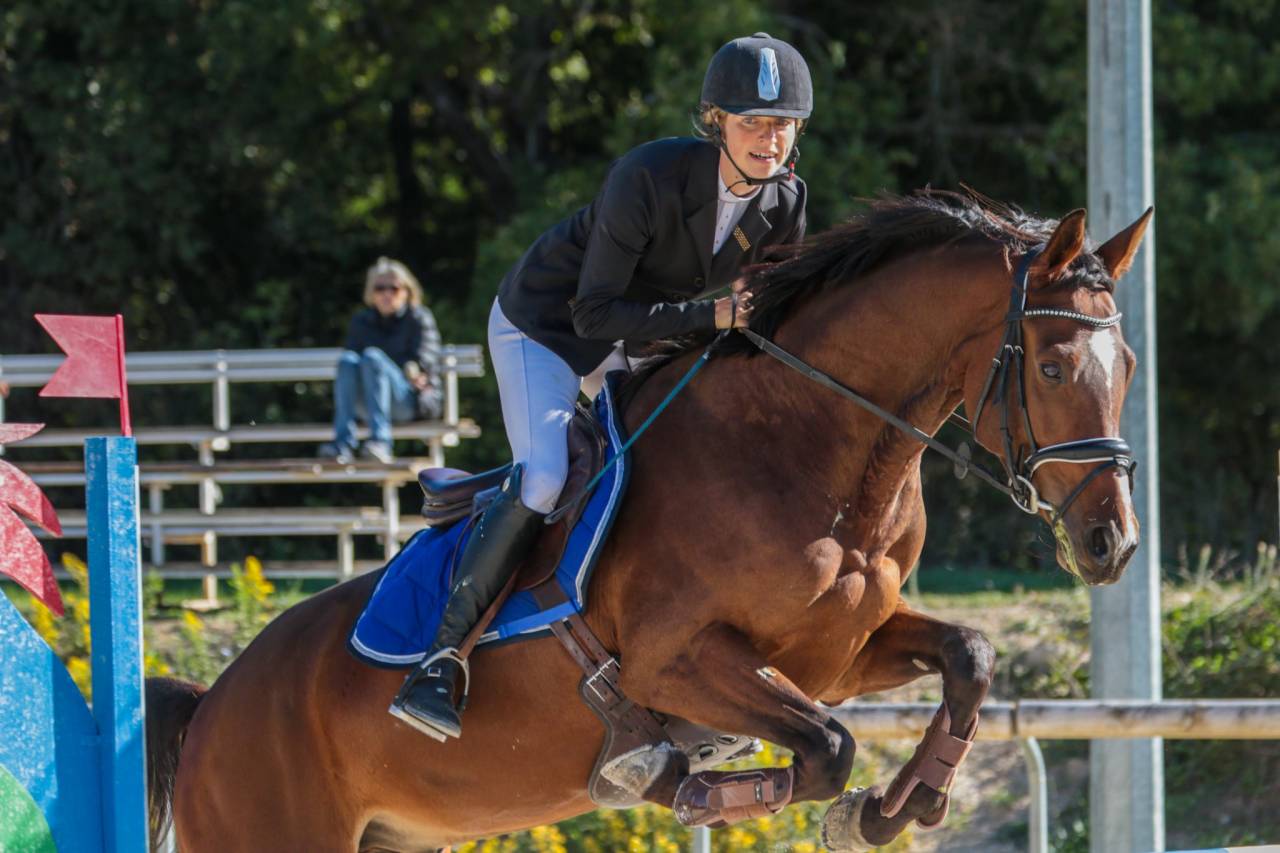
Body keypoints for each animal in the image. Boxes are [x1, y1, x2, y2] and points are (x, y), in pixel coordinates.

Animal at [146, 190, 1150, 852]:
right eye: (1052, 367)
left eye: (1130, 364)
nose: (1113, 543)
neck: (816, 450)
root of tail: (211, 705)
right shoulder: (677, 658)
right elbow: (826, 745)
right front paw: (696, 784)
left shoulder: (835, 655)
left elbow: (968, 655)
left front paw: (896, 807)